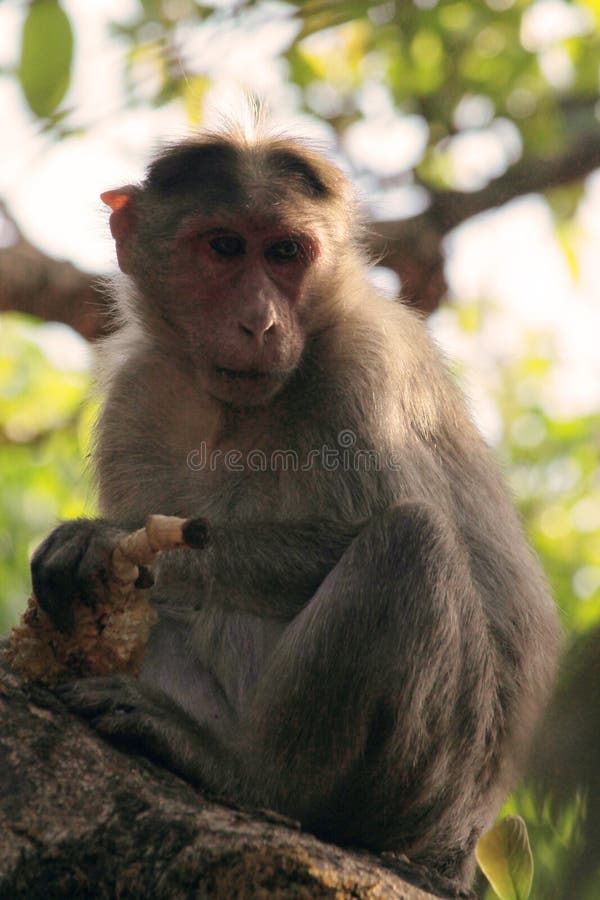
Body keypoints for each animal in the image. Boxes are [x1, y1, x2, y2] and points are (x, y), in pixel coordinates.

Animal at [29, 127, 560, 894]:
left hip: (426, 783)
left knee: (411, 540)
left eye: (285, 252)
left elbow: (345, 532)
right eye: (224, 247)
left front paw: (102, 542)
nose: (260, 322)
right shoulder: (141, 390)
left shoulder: (365, 368)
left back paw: (250, 776)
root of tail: (458, 846)